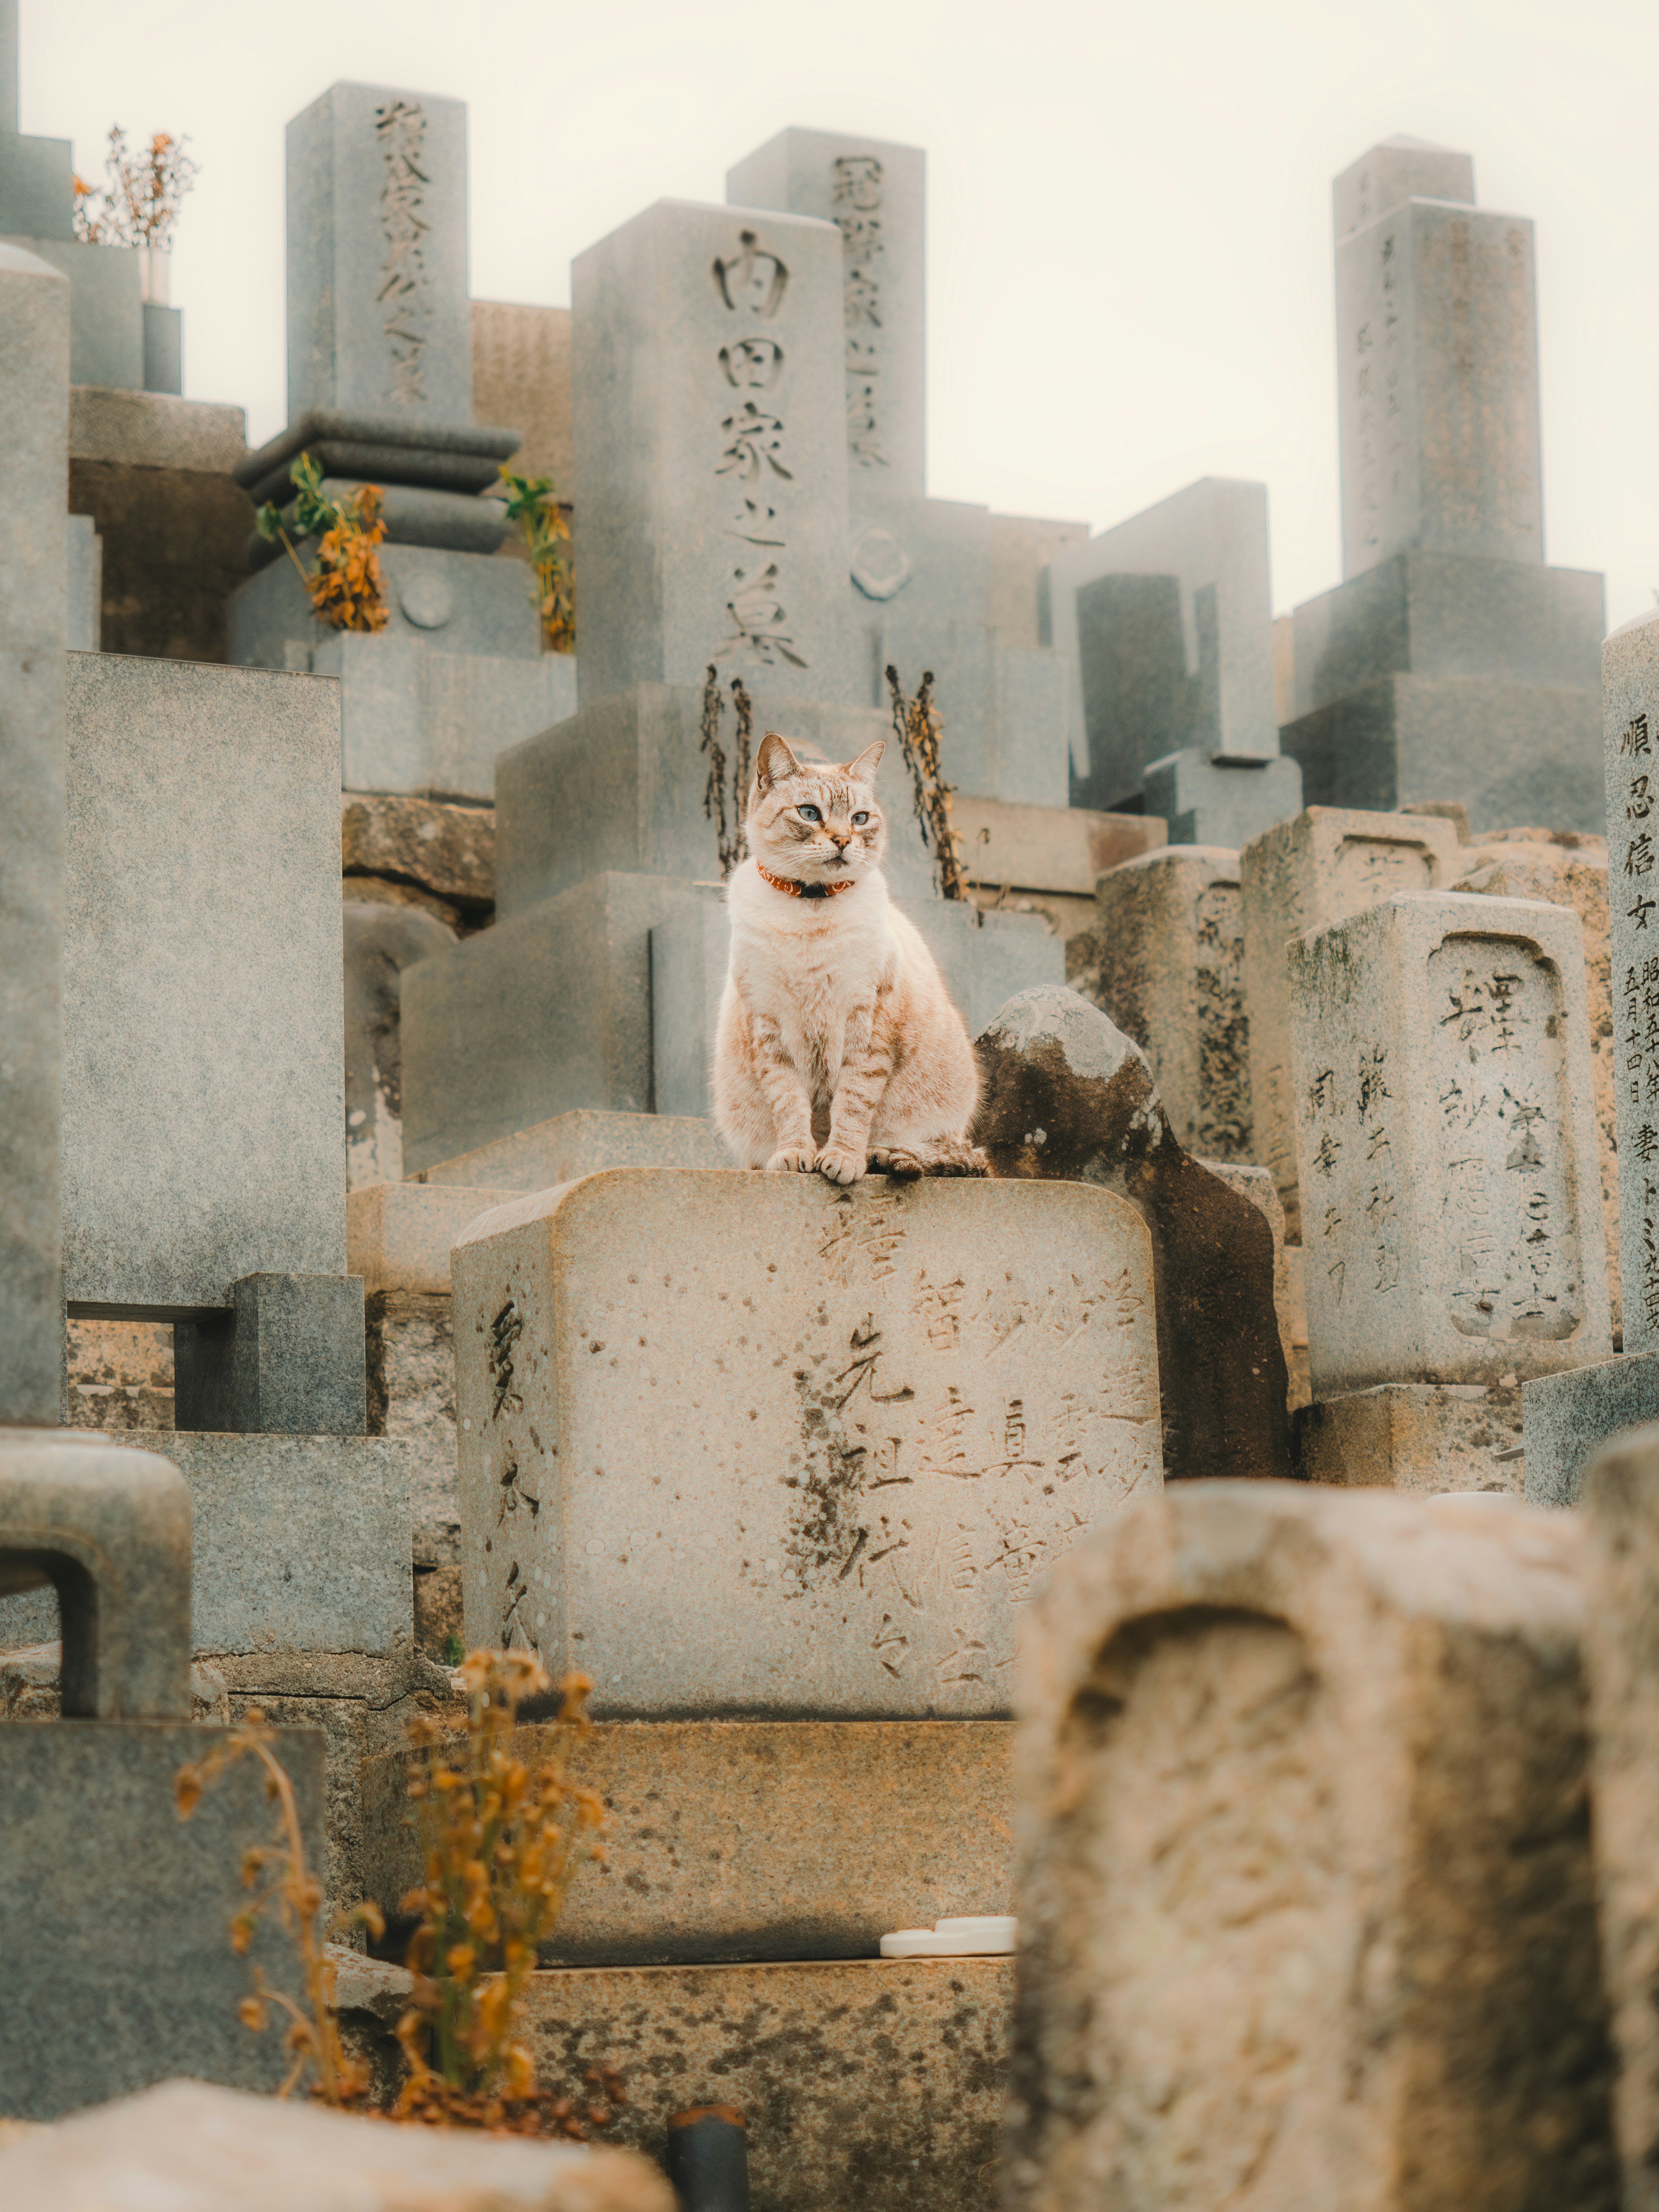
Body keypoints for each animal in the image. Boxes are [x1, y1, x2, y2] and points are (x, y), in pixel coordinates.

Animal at [712, 730, 986, 1185]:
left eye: (860, 819)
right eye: (809, 813)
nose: (843, 840)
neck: (812, 910)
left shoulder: (867, 1026)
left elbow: (853, 1105)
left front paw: (841, 1160)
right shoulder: (770, 1028)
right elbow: (790, 1104)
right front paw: (796, 1156)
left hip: (934, 1124)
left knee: (942, 1153)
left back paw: (883, 1158)